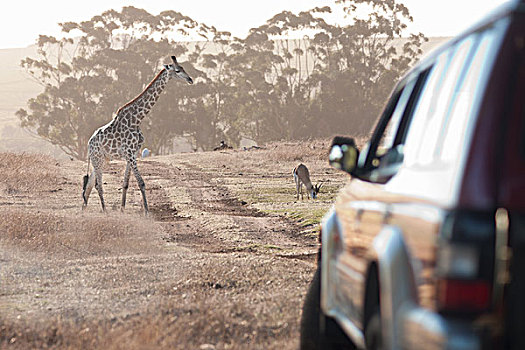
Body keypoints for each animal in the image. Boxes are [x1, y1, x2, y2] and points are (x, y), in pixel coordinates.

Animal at [83, 55, 193, 213]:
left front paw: (122, 210)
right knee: (98, 185)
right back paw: (105, 211)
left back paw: (85, 209)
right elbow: (141, 183)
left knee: (90, 184)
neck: (137, 120)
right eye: (177, 70)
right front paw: (147, 211)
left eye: (183, 68)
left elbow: (126, 183)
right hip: (97, 159)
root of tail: (89, 143)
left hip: (104, 159)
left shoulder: (133, 153)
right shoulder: (129, 153)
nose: (190, 79)